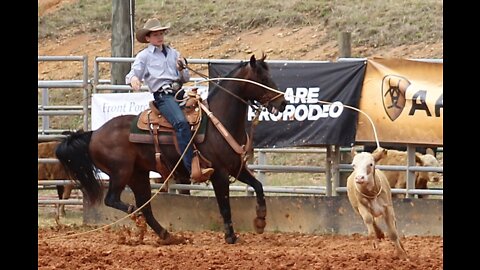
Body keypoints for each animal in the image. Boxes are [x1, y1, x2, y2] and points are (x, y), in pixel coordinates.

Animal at [56, 53, 288, 244]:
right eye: (263, 79)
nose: (283, 103)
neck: (219, 122)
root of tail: (94, 133)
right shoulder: (219, 173)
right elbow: (224, 205)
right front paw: (231, 236)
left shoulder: (235, 167)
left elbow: (258, 186)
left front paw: (260, 220)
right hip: (121, 172)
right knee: (114, 200)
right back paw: (136, 216)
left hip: (138, 175)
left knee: (146, 207)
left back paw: (167, 235)